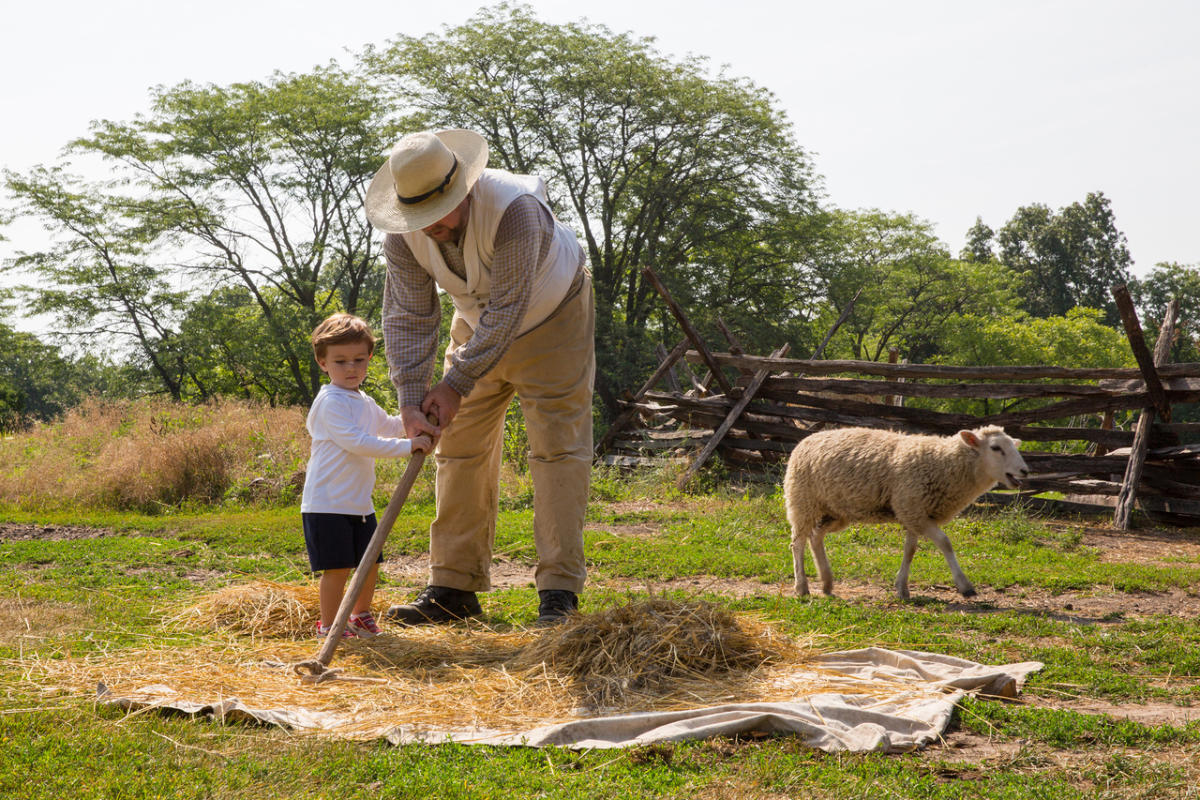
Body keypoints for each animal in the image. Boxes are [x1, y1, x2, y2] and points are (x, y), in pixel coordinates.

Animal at [782, 424, 1027, 599]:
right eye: (995, 448)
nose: (1025, 471)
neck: (943, 464)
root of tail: (806, 439)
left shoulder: (914, 513)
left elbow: (910, 550)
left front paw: (902, 588)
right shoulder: (914, 510)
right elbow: (945, 543)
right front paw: (965, 586)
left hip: (835, 511)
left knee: (816, 536)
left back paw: (826, 582)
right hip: (802, 501)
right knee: (798, 543)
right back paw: (801, 586)